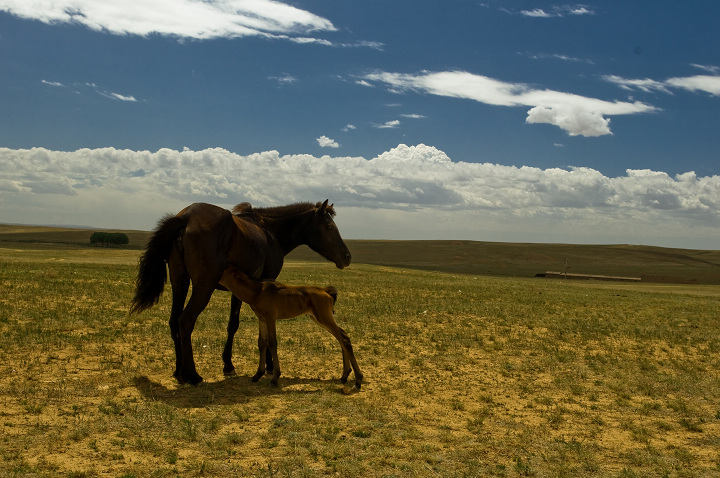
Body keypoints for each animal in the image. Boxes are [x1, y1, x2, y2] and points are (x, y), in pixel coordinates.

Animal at [133, 201, 354, 384]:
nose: (347, 256)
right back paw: (192, 375)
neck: (270, 231)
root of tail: (186, 216)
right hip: (203, 286)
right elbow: (252, 328)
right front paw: (268, 366)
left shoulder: (239, 289)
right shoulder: (267, 281)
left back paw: (178, 372)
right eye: (329, 227)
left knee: (173, 321)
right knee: (185, 321)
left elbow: (233, 325)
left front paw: (228, 364)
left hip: (180, 281)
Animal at [218, 264, 362, 390]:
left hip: (324, 318)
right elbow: (262, 343)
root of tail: (326, 291)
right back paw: (344, 376)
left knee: (343, 339)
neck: (257, 291)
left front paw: (274, 378)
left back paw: (358, 380)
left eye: (223, 269)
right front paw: (257, 375)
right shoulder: (262, 320)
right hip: (319, 319)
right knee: (342, 336)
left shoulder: (270, 318)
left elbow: (272, 343)